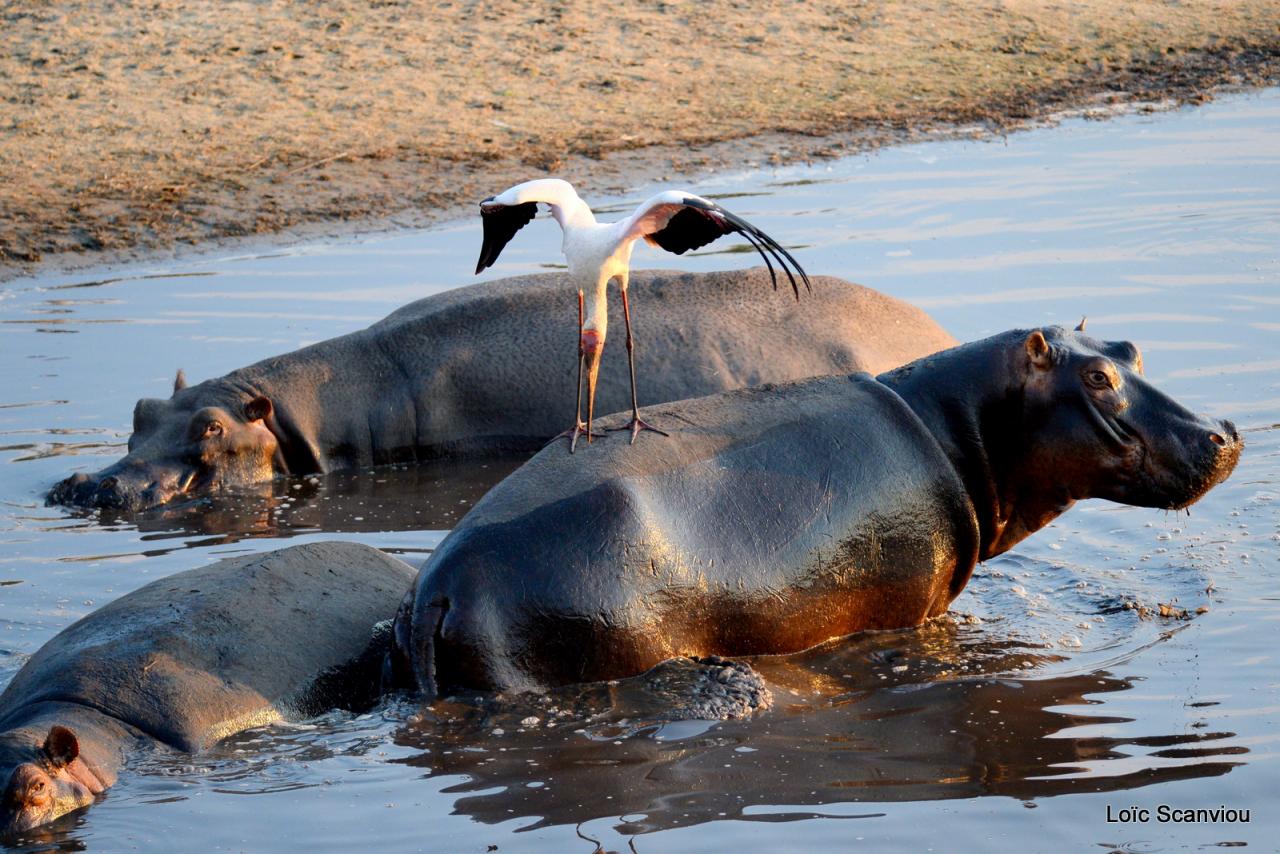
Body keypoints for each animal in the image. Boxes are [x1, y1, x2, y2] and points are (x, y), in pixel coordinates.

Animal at [389, 325, 1239, 696]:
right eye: (1096, 377)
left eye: (1130, 350)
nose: (1225, 432)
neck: (958, 423)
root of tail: (440, 588)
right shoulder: (918, 605)